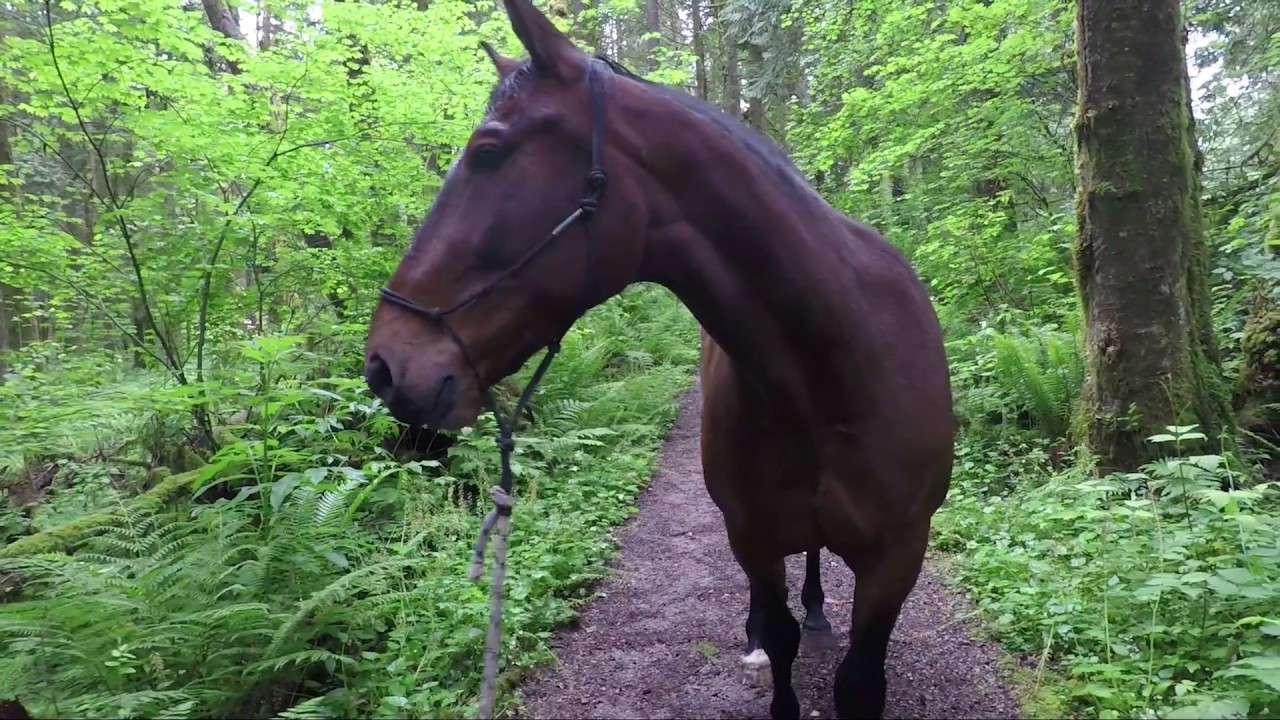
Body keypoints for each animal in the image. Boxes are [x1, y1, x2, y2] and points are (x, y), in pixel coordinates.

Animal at [362, 1, 955, 717]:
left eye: (488, 153)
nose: (384, 363)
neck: (831, 377)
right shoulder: (753, 534)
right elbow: (781, 639)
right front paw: (769, 640)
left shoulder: (898, 557)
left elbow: (859, 680)